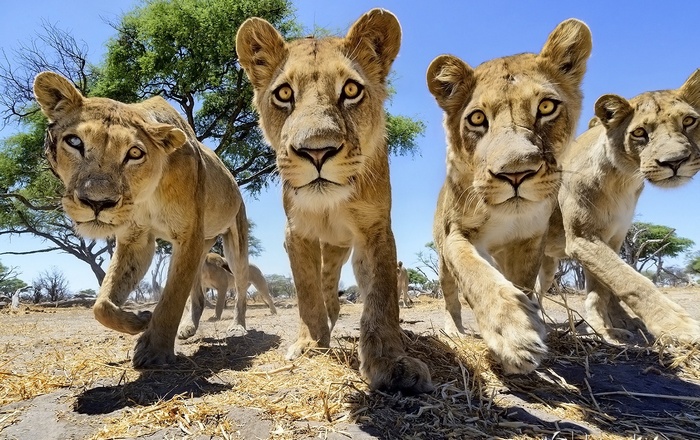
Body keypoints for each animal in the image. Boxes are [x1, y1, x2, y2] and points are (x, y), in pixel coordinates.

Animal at [33, 72, 250, 368]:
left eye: (134, 153)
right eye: (75, 142)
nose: (97, 202)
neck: (147, 194)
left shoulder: (188, 236)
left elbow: (172, 297)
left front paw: (154, 350)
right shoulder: (137, 239)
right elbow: (102, 304)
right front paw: (139, 320)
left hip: (233, 241)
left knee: (239, 284)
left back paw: (238, 326)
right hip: (202, 247)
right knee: (198, 294)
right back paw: (187, 328)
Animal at [236, 9, 432, 393]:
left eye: (351, 90)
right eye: (284, 93)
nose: (317, 151)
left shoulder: (375, 230)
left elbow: (381, 296)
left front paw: (390, 361)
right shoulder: (296, 234)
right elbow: (307, 292)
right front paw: (311, 344)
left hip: (343, 248)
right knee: (324, 283)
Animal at [426, 19, 592, 374]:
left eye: (546, 106)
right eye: (477, 118)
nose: (515, 173)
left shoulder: (529, 240)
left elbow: (523, 284)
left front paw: (527, 321)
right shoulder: (456, 234)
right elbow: (476, 273)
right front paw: (515, 333)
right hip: (442, 259)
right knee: (450, 294)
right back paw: (454, 330)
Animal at [537, 69, 700, 342]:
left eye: (689, 121)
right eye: (640, 132)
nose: (675, 162)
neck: (624, 180)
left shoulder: (613, 238)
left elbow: (604, 288)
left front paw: (613, 325)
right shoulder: (583, 238)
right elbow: (630, 280)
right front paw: (678, 325)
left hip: (548, 264)